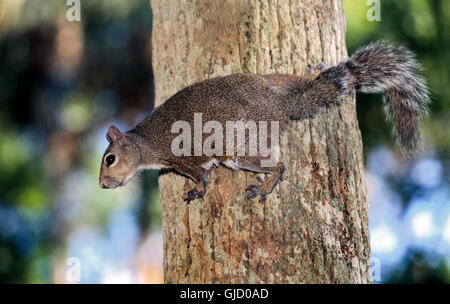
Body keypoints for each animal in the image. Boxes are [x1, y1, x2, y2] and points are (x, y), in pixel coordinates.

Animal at [98, 41, 428, 202]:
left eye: (110, 159)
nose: (102, 184)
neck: (146, 143)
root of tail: (279, 107)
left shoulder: (184, 160)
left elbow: (201, 178)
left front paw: (197, 192)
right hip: (271, 80)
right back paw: (312, 73)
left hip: (243, 148)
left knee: (279, 166)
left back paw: (265, 188)